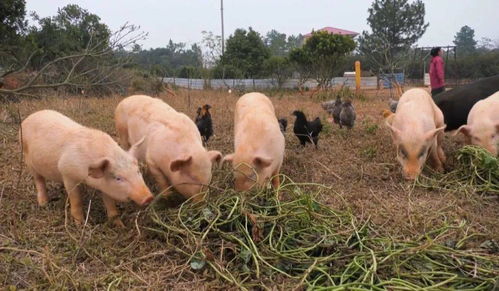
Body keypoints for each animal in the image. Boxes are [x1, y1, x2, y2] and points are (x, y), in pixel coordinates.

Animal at [20, 110, 152, 227]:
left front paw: (120, 225)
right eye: (118, 178)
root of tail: (29, 117)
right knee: (39, 181)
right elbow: (76, 200)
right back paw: (43, 203)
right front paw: (81, 225)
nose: (148, 197)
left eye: (138, 171)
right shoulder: (67, 173)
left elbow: (110, 204)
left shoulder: (105, 186)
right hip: (28, 160)